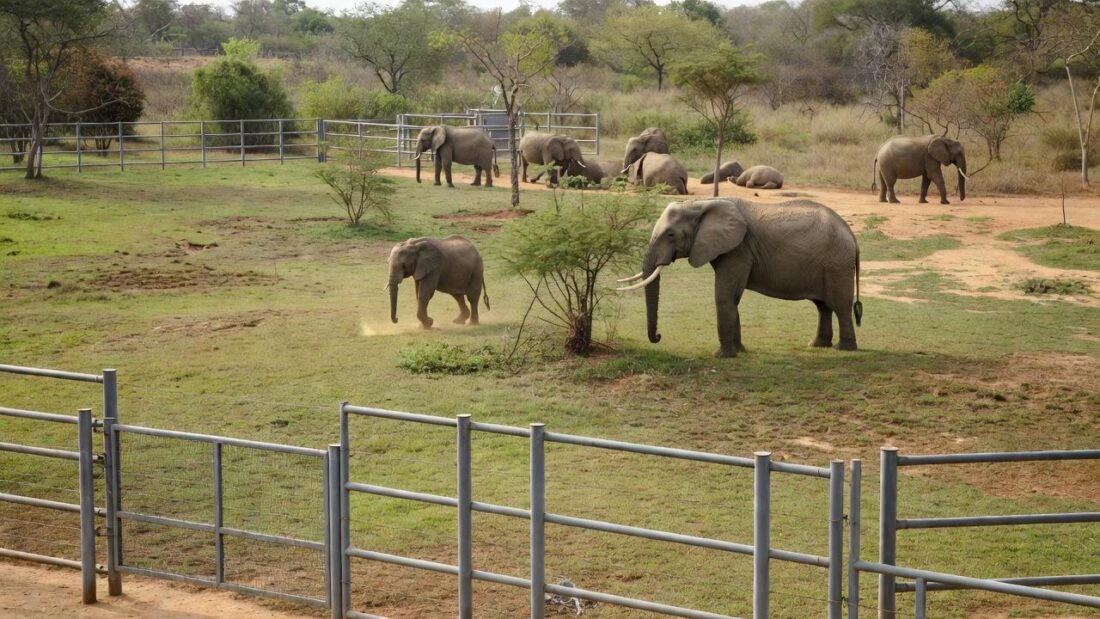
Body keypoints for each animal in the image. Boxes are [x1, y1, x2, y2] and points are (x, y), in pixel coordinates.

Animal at [617, 198, 862, 358]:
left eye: (670, 235)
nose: (658, 336)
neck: (701, 204)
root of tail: (852, 235)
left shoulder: (738, 248)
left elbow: (725, 296)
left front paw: (722, 356)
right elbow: (733, 299)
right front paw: (740, 351)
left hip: (837, 264)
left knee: (840, 305)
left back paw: (844, 349)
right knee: (823, 306)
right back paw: (817, 345)